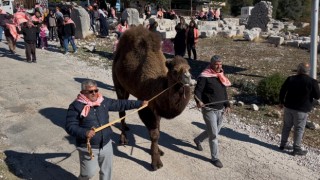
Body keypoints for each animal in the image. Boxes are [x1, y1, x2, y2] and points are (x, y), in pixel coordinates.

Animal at [112, 25, 191, 170]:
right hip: (118, 83)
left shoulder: (157, 107)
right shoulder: (146, 106)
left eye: (189, 68)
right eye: (175, 71)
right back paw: (123, 138)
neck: (158, 85)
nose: (187, 78)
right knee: (121, 110)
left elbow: (158, 128)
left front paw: (158, 150)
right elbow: (154, 134)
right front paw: (156, 162)